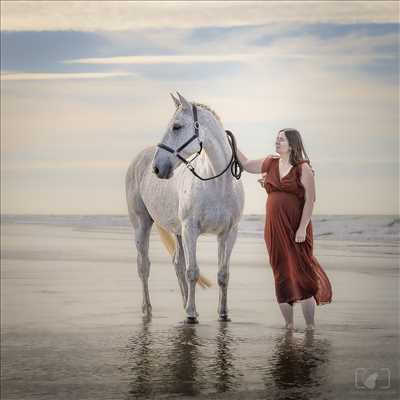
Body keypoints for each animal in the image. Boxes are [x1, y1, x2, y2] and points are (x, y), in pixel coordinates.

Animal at [126, 92, 244, 324]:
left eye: (177, 126)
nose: (157, 168)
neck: (216, 181)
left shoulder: (228, 233)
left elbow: (222, 274)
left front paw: (223, 312)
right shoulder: (191, 230)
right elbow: (193, 272)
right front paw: (191, 313)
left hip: (177, 231)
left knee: (177, 264)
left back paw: (182, 302)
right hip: (142, 224)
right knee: (144, 266)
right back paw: (148, 309)